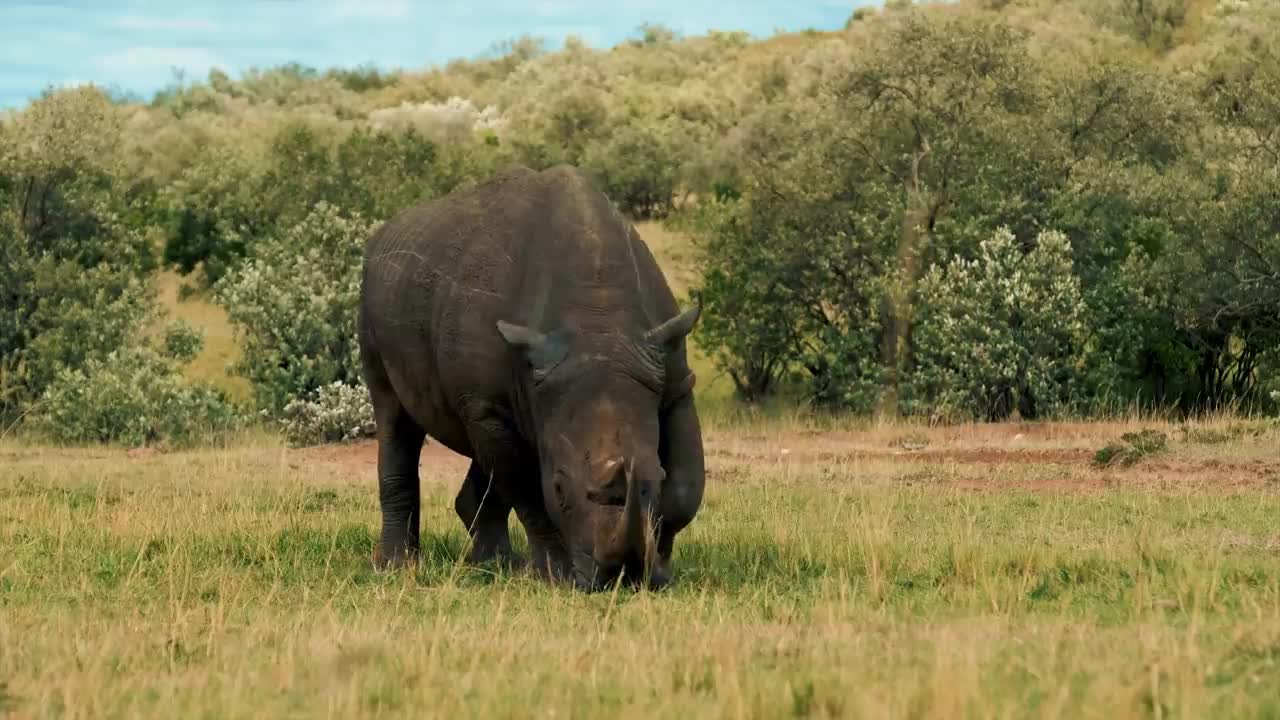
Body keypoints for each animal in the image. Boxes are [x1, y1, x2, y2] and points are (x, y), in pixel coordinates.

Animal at [355, 163, 706, 589]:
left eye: (656, 475)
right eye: (559, 486)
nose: (619, 576)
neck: (598, 325)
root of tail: (381, 236)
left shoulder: (672, 376)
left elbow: (686, 485)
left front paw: (661, 569)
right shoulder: (490, 403)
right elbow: (529, 492)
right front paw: (557, 576)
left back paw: (495, 565)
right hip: (372, 300)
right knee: (393, 414)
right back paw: (397, 567)